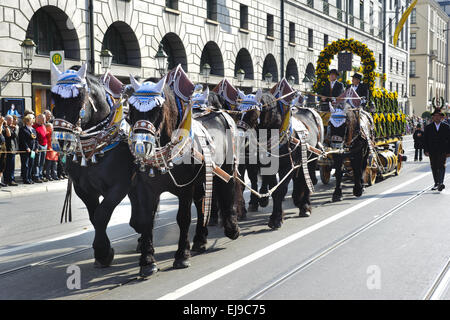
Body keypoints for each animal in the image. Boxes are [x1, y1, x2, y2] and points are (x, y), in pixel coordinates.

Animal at [51, 64, 134, 268]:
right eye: (54, 98)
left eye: (79, 97)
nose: (61, 141)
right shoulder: (84, 189)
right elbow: (94, 217)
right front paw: (102, 251)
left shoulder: (119, 186)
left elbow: (102, 215)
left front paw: (103, 252)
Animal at [126, 70, 239, 278]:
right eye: (131, 108)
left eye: (157, 110)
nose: (140, 147)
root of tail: (219, 112)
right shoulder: (146, 189)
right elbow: (147, 219)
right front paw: (147, 261)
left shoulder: (186, 187)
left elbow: (183, 218)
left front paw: (181, 255)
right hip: (203, 178)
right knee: (203, 203)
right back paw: (200, 240)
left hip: (226, 168)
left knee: (227, 192)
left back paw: (232, 228)